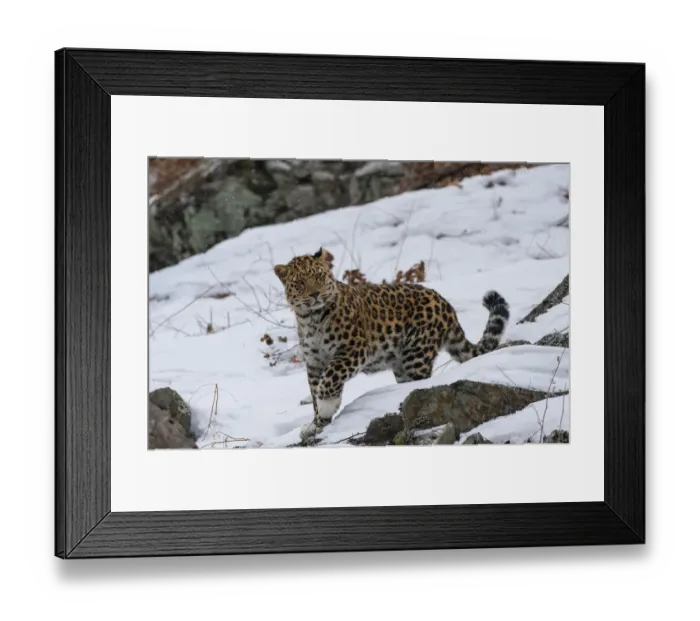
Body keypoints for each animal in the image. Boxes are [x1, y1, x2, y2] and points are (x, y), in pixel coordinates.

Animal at [273, 247, 511, 442]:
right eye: (300, 283)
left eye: (319, 277)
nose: (315, 294)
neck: (311, 319)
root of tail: (446, 305)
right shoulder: (314, 362)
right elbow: (315, 390)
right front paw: (317, 424)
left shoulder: (352, 350)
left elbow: (329, 379)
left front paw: (326, 407)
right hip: (401, 365)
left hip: (416, 355)